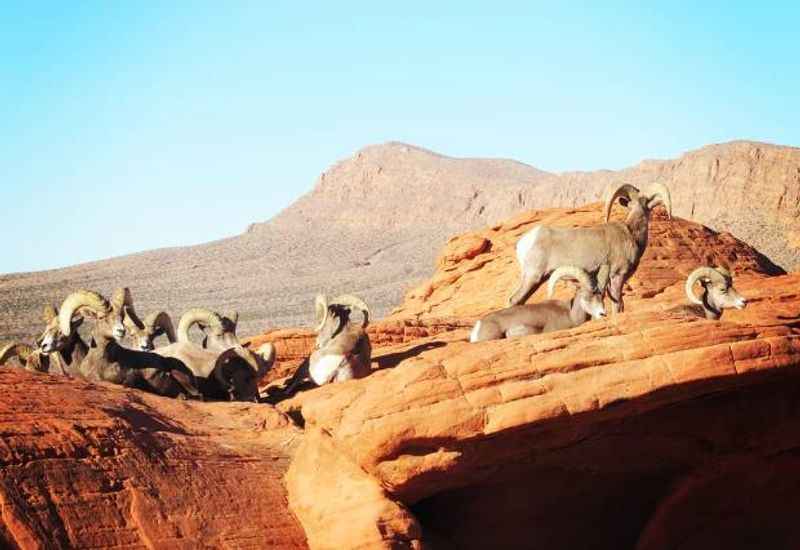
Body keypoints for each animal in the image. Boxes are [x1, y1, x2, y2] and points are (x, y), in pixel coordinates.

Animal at [510, 182, 672, 314]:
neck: (631, 233)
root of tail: (524, 242)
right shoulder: (617, 276)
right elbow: (617, 305)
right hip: (533, 277)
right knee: (515, 300)